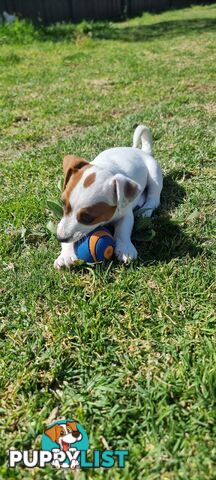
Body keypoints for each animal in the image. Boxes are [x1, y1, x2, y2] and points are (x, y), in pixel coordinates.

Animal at [54, 124, 162, 270]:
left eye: (88, 218)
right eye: (63, 203)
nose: (59, 238)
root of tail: (142, 151)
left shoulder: (126, 214)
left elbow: (123, 230)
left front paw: (125, 248)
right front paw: (65, 255)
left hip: (154, 174)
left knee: (153, 197)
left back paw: (145, 211)